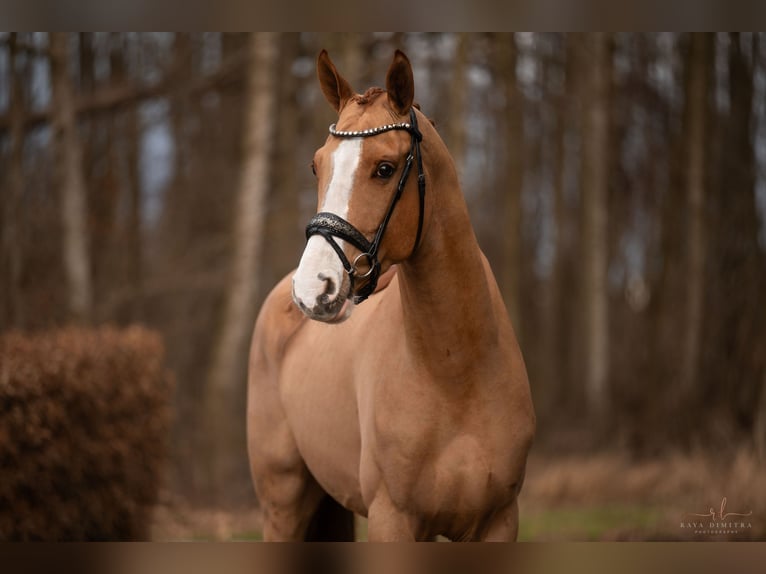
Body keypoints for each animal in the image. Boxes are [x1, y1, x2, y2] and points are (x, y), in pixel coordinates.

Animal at [249, 50, 536, 544]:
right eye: (316, 166)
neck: (456, 373)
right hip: (280, 505)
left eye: (384, 169)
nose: (313, 289)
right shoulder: (392, 519)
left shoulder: (498, 520)